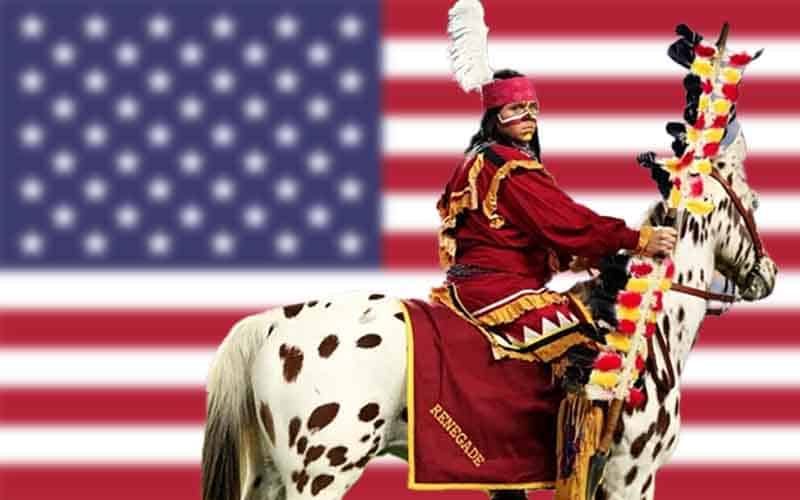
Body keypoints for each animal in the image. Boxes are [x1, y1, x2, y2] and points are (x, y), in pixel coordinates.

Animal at [200, 122, 776, 500]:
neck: (639, 330)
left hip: (274, 475)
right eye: (754, 201)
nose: (767, 274)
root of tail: (272, 322)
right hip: (320, 473)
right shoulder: (630, 474)